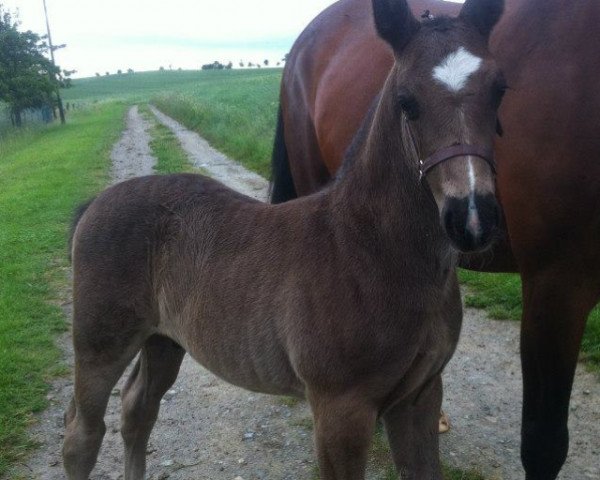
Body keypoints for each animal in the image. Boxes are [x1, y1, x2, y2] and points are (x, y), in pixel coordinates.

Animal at [64, 1, 506, 478]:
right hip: (99, 343)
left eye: (499, 89)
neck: (369, 249)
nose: (472, 217)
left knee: (137, 409)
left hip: (164, 340)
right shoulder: (340, 410)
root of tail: (96, 203)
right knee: (81, 434)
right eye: (407, 102)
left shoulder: (420, 396)